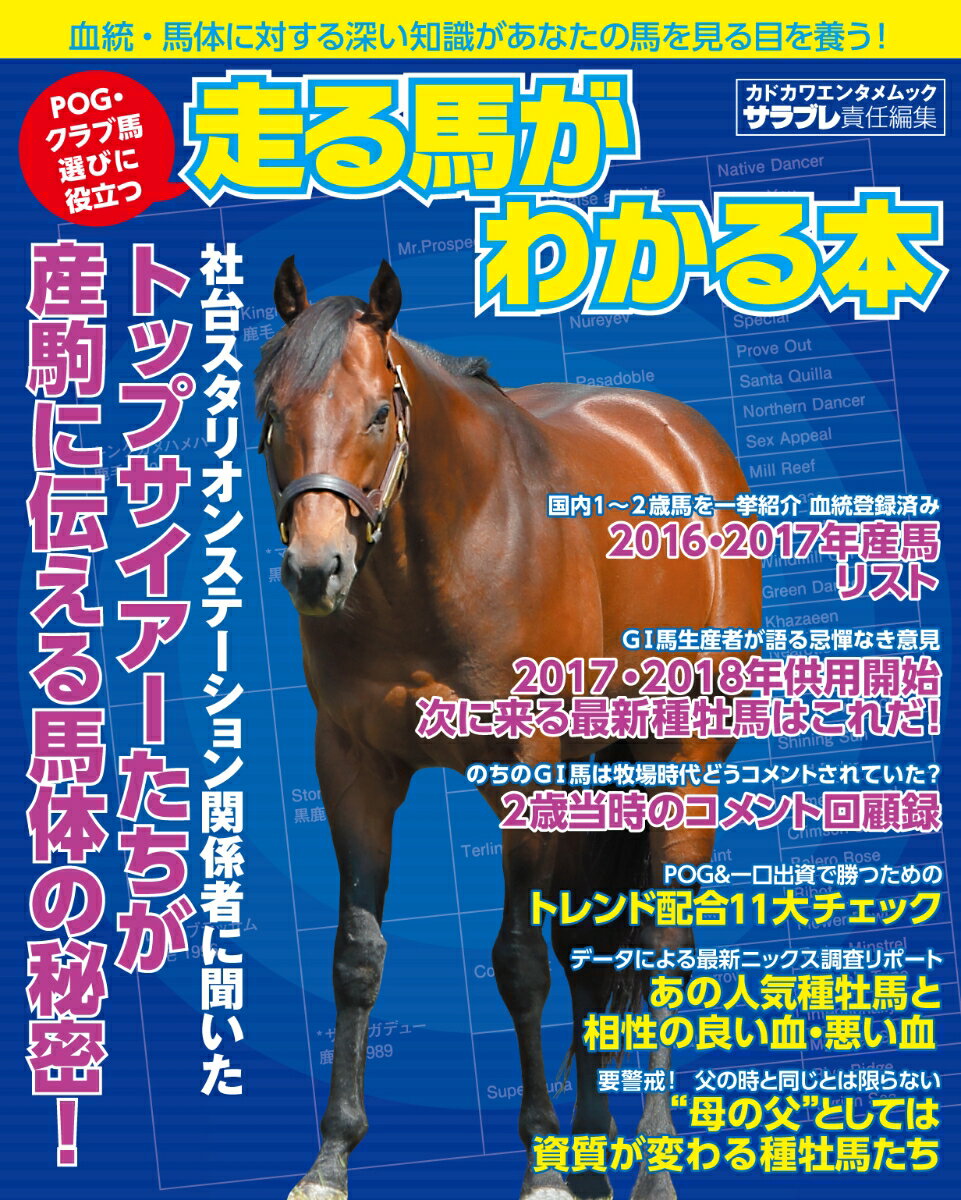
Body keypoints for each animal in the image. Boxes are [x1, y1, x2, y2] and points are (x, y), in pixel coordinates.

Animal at [254, 257, 762, 1200]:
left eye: (377, 411)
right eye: (273, 412)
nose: (315, 568)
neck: (444, 546)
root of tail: (684, 444)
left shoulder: (527, 764)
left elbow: (519, 962)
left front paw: (540, 1167)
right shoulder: (351, 765)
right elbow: (356, 956)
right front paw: (330, 1158)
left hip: (681, 760)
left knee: (660, 953)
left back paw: (650, 1169)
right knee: (591, 952)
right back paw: (595, 1159)